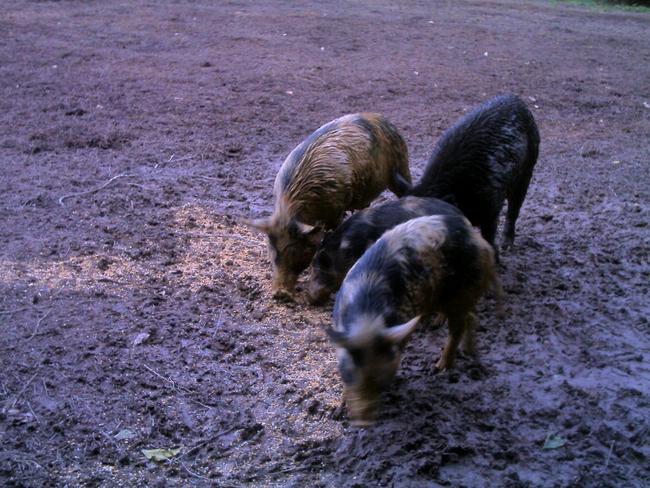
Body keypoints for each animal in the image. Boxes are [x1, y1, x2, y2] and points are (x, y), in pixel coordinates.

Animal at [246, 113, 408, 300]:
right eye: (272, 252)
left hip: (402, 164)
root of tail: (380, 118)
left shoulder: (337, 209)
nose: (280, 293)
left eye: (294, 250)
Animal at [330, 215, 502, 426]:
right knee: (471, 317)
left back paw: (438, 369)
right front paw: (336, 412)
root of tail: (482, 243)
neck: (367, 320)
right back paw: (468, 351)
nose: (365, 423)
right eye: (353, 375)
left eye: (381, 383)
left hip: (460, 291)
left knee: (458, 327)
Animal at [404, 93, 536, 258]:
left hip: (528, 167)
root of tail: (517, 99)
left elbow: (489, 234)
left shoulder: (491, 204)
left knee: (514, 208)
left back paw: (506, 247)